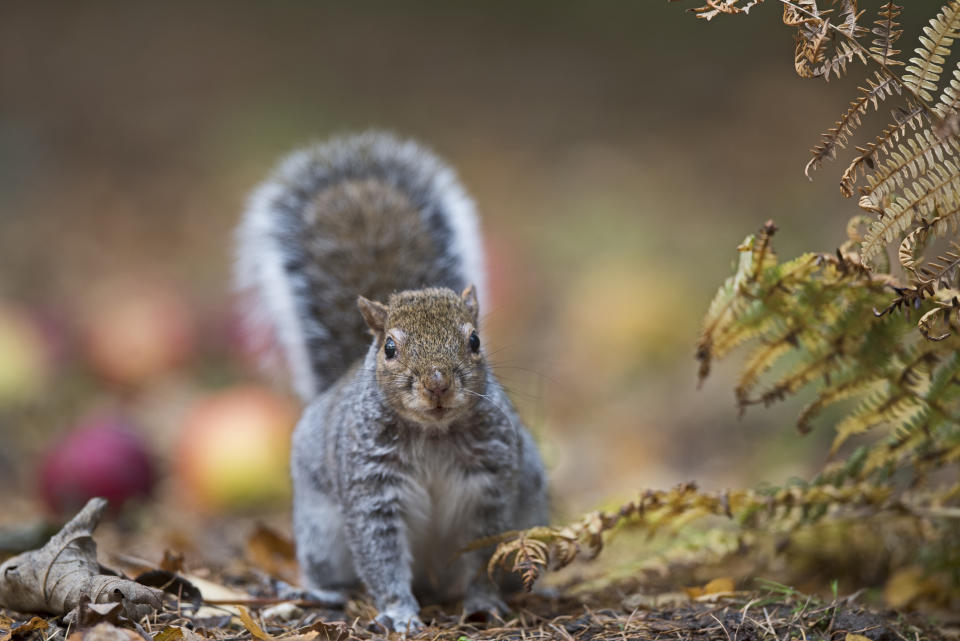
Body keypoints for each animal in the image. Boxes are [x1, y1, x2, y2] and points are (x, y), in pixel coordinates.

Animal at [233, 131, 548, 632]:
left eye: (475, 340)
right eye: (390, 349)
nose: (437, 383)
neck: (434, 433)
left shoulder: (492, 487)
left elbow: (484, 554)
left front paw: (483, 601)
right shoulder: (372, 488)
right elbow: (379, 555)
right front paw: (399, 612)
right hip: (321, 533)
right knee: (335, 572)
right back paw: (318, 592)